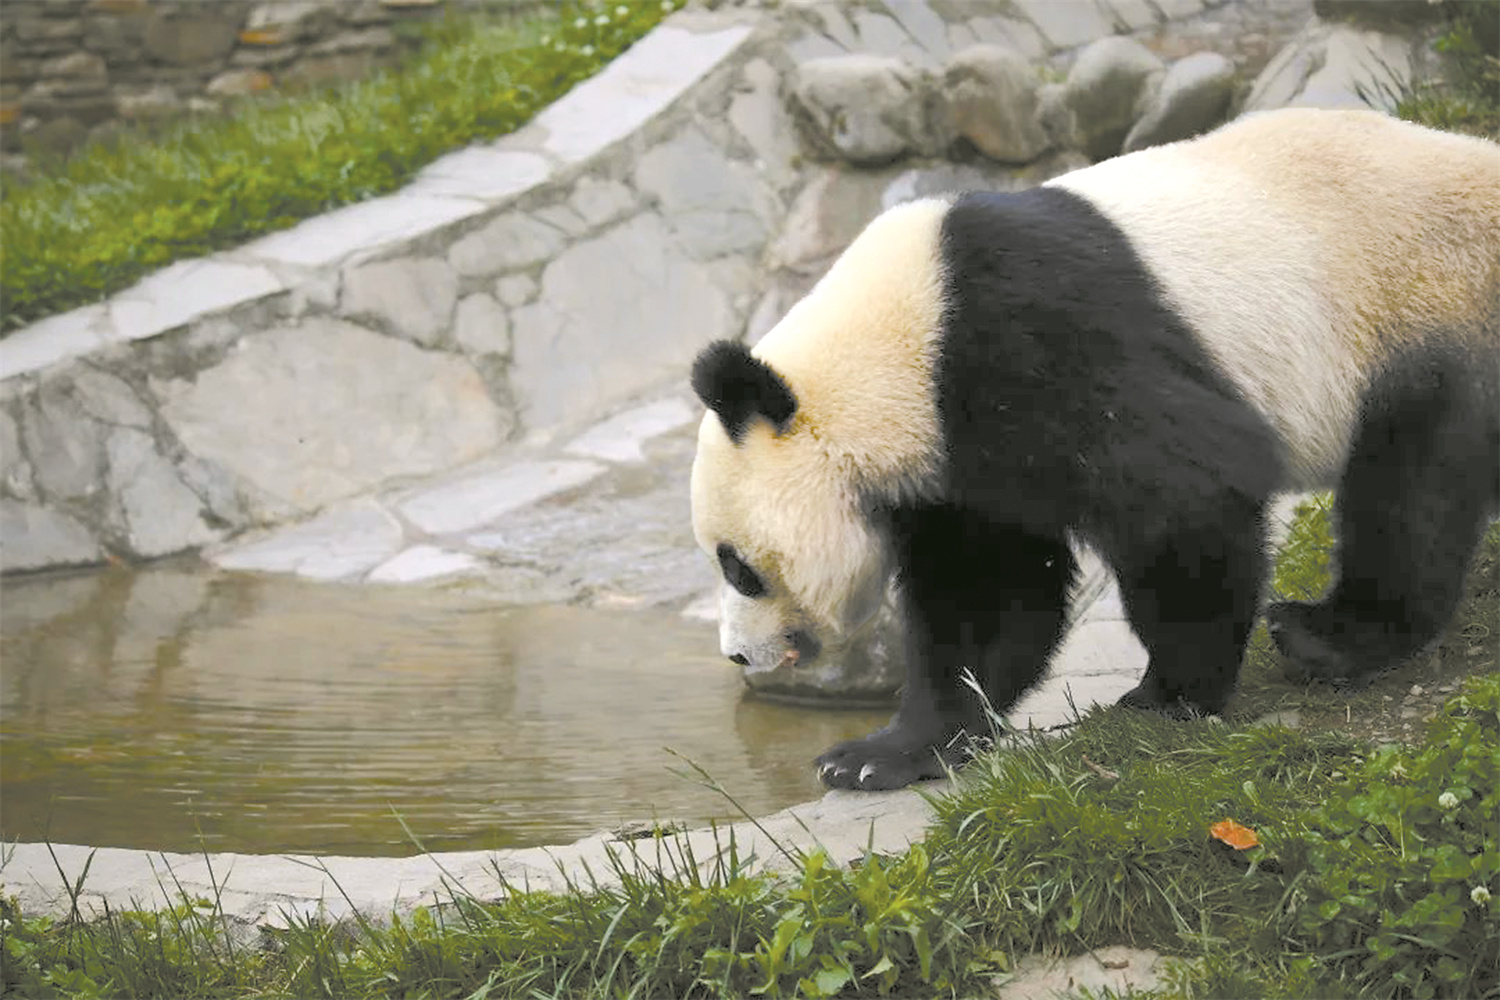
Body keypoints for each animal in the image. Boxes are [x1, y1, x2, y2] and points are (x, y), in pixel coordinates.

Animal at [687, 107, 1494, 791]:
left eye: (739, 567)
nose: (737, 654)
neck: (901, 344)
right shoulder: (958, 457)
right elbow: (987, 591)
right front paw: (883, 753)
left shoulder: (1036, 339)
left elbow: (1183, 497)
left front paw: (1170, 694)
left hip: (1423, 304)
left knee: (1410, 492)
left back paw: (1330, 634)